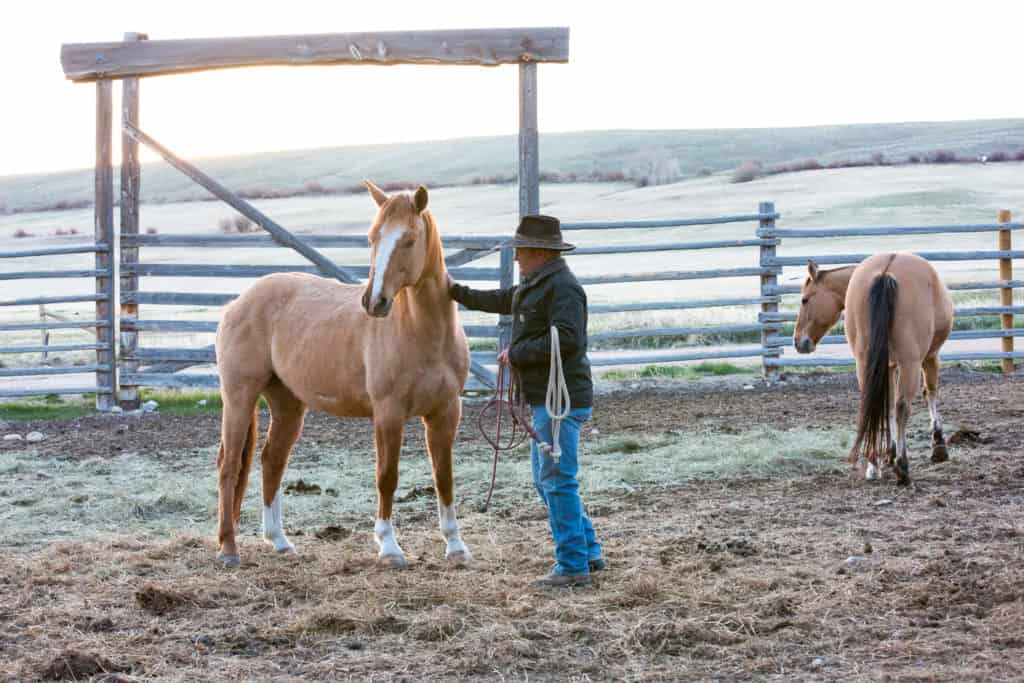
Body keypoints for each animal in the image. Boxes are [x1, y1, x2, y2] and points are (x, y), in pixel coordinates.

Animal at [213, 181, 472, 568]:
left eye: (409, 239)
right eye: (372, 237)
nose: (374, 302)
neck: (423, 332)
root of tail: (237, 302)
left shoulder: (445, 412)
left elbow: (445, 477)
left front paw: (455, 545)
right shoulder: (388, 413)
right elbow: (387, 476)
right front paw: (389, 546)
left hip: (287, 405)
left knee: (272, 460)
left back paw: (279, 541)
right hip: (239, 396)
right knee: (229, 465)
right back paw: (229, 549)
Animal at [793, 253, 954, 485]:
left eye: (805, 300)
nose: (798, 341)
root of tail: (885, 271)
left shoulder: (889, 365)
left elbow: (887, 405)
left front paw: (889, 454)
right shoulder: (930, 357)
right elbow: (929, 393)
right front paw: (938, 445)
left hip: (865, 362)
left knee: (874, 401)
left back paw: (873, 465)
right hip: (910, 363)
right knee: (903, 406)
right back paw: (902, 468)